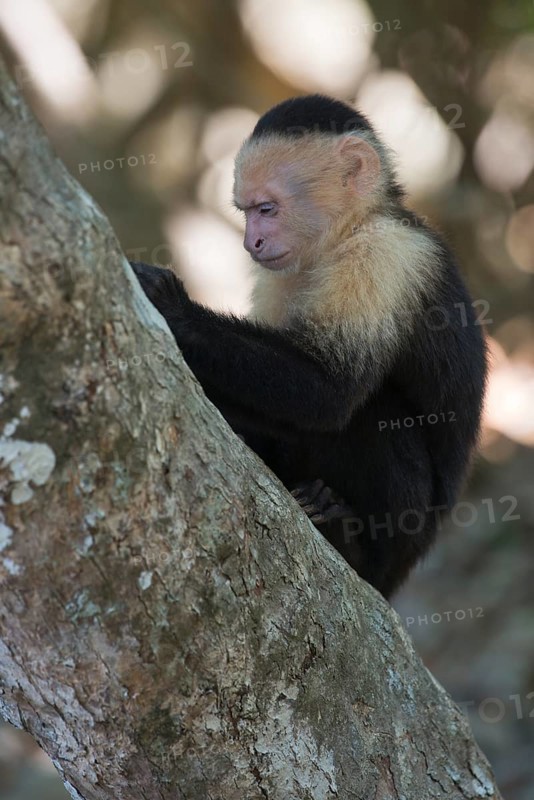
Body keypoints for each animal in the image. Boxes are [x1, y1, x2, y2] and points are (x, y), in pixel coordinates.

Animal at [131, 94, 487, 599]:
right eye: (245, 211)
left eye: (266, 209)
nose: (251, 243)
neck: (347, 233)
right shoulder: (279, 276)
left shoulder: (384, 255)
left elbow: (327, 390)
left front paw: (172, 306)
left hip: (405, 542)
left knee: (374, 413)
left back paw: (352, 546)